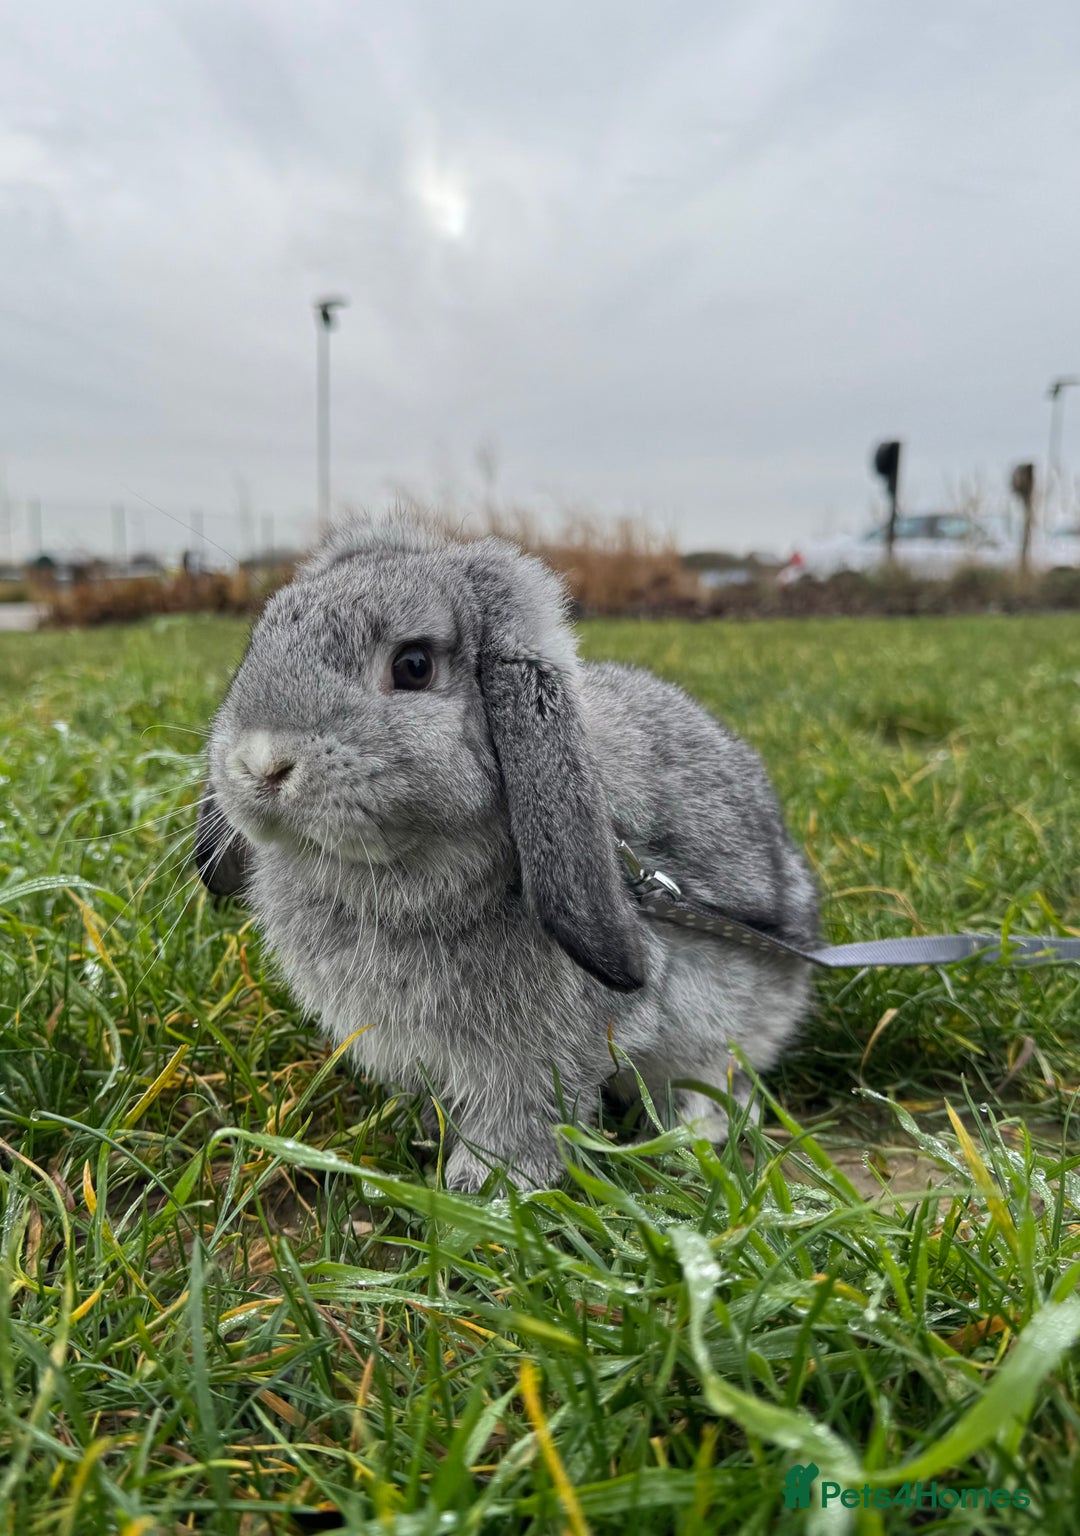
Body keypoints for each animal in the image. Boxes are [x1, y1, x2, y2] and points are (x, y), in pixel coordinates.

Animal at [196, 515, 818, 1191]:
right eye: (259, 642)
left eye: (413, 665)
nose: (262, 764)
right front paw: (424, 1131)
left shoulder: (539, 1051)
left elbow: (522, 1109)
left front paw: (487, 1185)